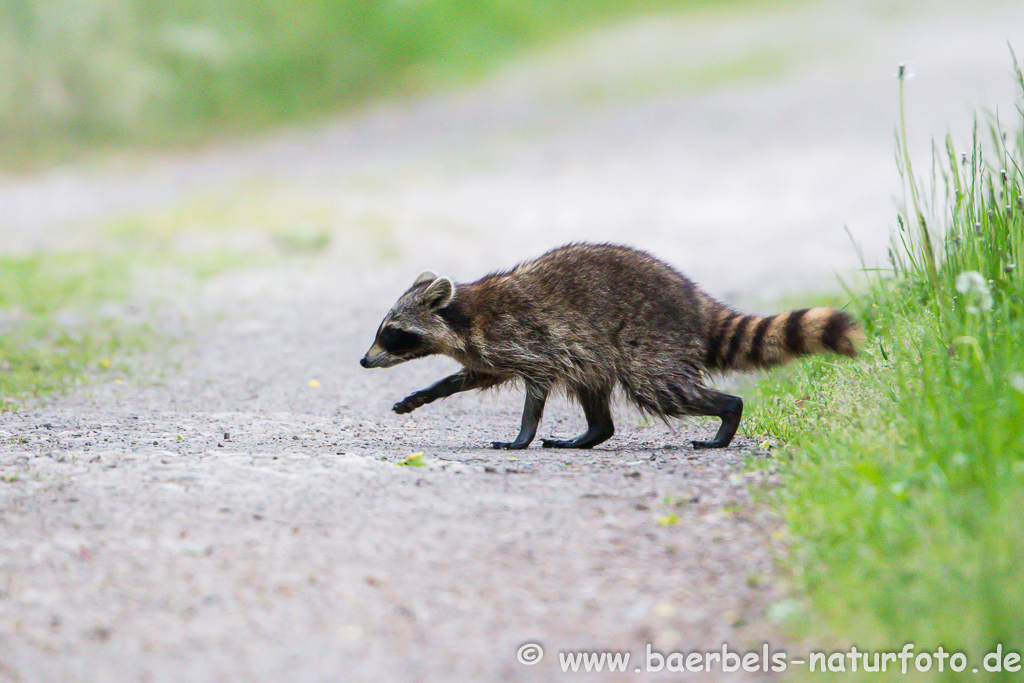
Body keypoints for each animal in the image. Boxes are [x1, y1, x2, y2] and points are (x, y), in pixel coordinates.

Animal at [362, 242, 864, 450]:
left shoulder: (526, 338)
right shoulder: (490, 350)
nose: (365, 361)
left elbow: (535, 393)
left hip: (650, 343)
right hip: (596, 354)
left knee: (661, 389)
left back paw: (727, 414)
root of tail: (696, 302)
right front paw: (427, 393)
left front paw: (522, 435)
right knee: (594, 393)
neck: (463, 313)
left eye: (392, 333)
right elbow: (476, 376)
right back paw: (592, 434)